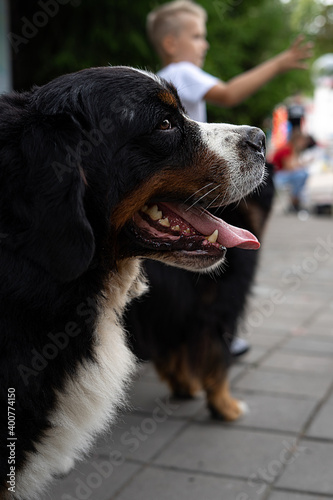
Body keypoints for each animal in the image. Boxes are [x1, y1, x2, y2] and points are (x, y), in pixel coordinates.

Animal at [126, 166, 274, 420]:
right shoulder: (220, 308)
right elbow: (219, 360)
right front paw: (225, 406)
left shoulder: (174, 312)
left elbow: (175, 353)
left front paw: (184, 387)